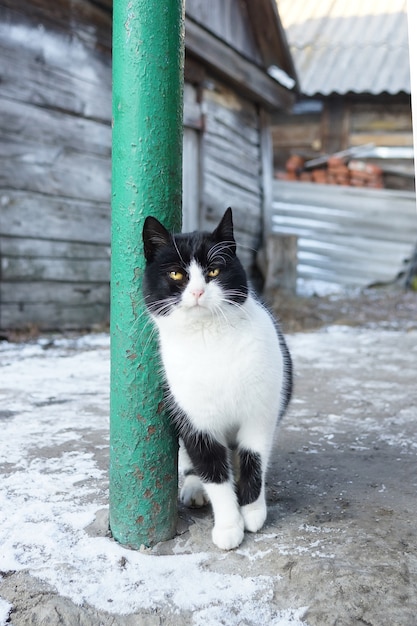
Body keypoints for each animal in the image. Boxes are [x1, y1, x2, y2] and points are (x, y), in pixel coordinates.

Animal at [141, 208, 290, 544]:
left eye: (214, 271)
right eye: (176, 275)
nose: (198, 292)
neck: (209, 338)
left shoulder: (260, 412)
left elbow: (253, 458)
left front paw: (252, 511)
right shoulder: (195, 419)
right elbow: (212, 470)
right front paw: (228, 526)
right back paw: (195, 487)